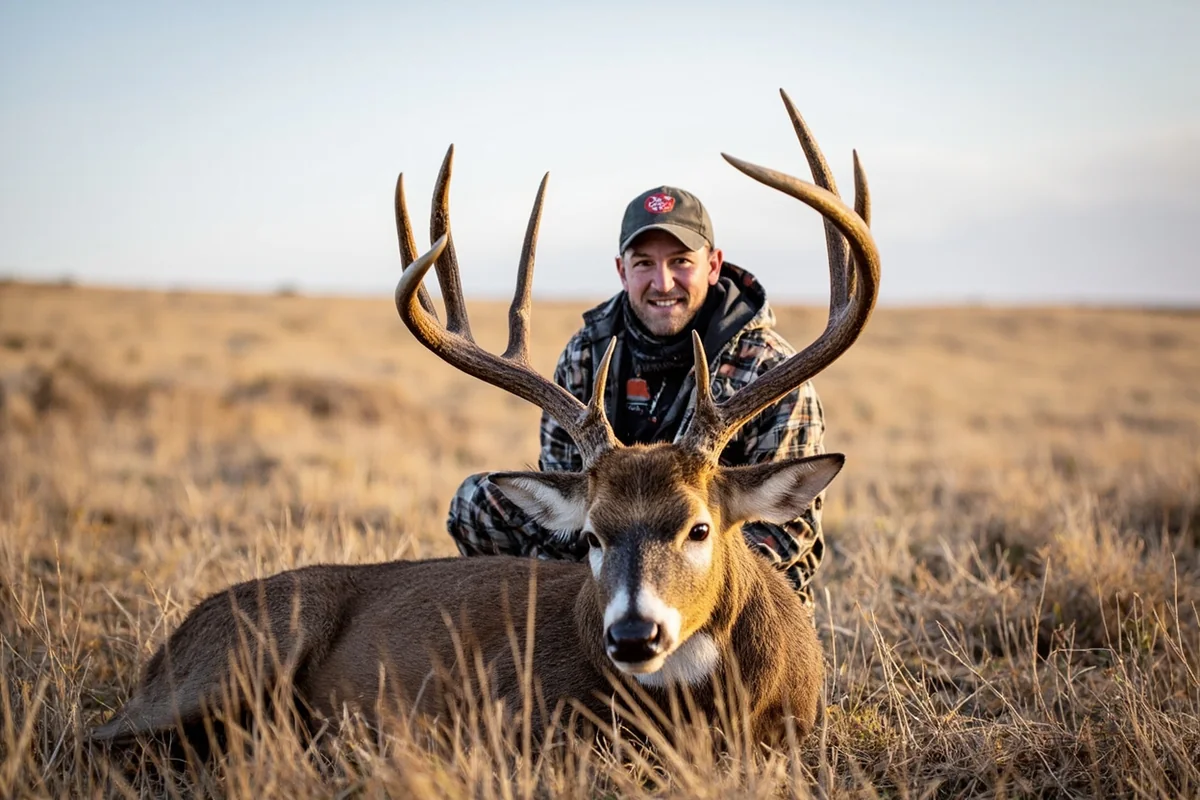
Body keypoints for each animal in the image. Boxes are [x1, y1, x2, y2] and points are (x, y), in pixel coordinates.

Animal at [88, 89, 879, 752]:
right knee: (106, 737)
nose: (632, 635)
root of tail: (172, 641)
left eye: (700, 527)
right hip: (242, 655)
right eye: (592, 536)